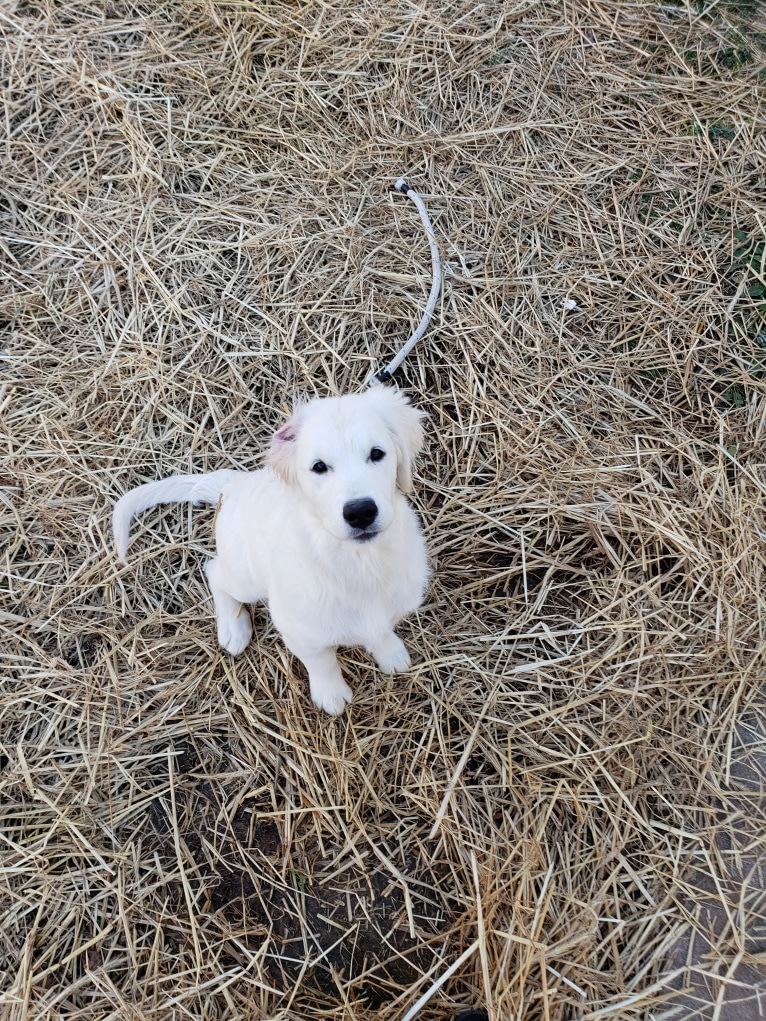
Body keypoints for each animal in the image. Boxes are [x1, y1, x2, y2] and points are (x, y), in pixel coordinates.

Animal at [110, 385, 428, 714]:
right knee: (214, 571)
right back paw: (234, 628)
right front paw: (331, 694)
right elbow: (321, 662)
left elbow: (383, 632)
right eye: (319, 467)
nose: (360, 512)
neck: (361, 562)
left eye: (377, 454)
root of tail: (234, 483)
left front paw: (391, 654)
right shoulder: (299, 631)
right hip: (246, 576)